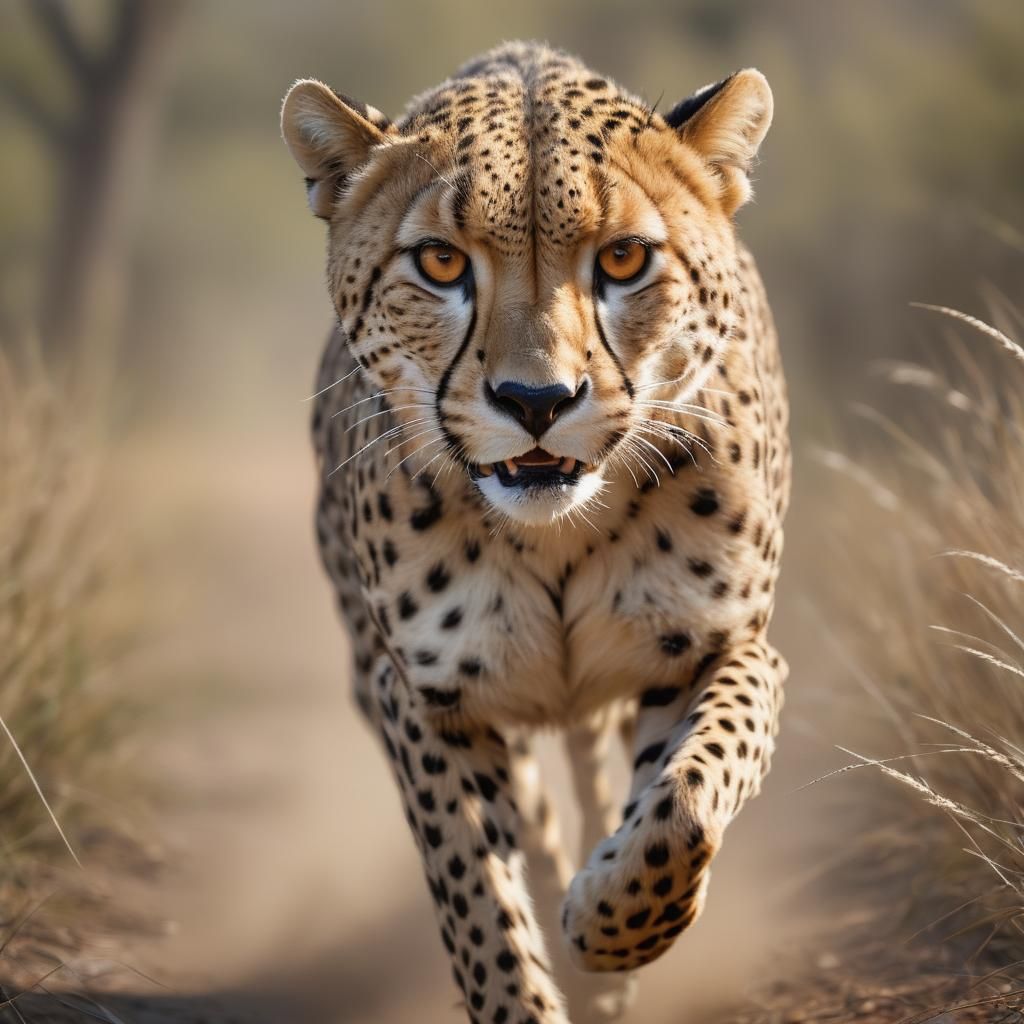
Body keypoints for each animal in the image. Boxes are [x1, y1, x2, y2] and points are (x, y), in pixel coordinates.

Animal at [281, 40, 789, 1024]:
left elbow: (686, 803)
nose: (536, 401)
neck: (557, 535)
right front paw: (549, 960)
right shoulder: (423, 699)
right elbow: (480, 904)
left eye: (624, 258)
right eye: (441, 263)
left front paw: (609, 929)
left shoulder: (724, 647)